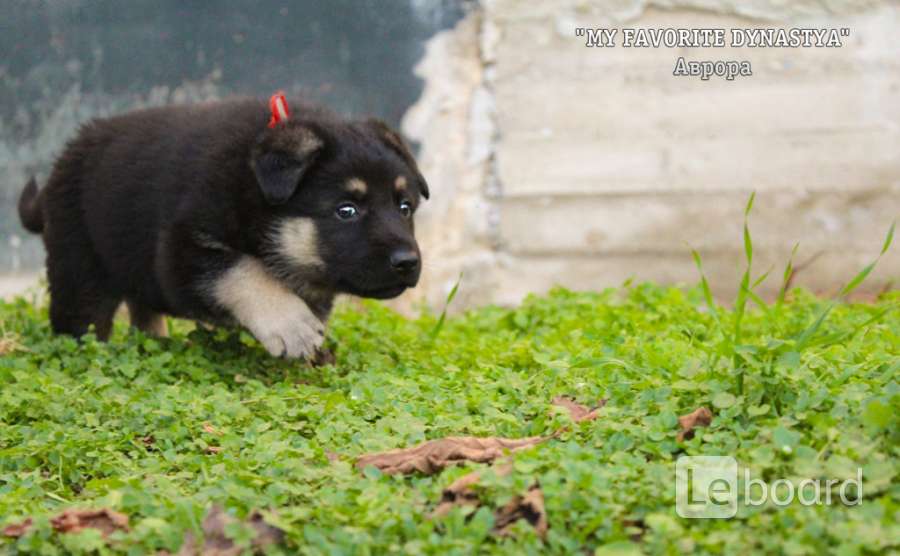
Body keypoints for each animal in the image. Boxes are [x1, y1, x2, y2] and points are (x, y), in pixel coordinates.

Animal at [16, 96, 428, 358]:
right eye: (346, 210)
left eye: (405, 207)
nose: (408, 262)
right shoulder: (181, 250)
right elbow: (243, 271)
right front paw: (290, 323)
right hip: (79, 268)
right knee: (80, 322)